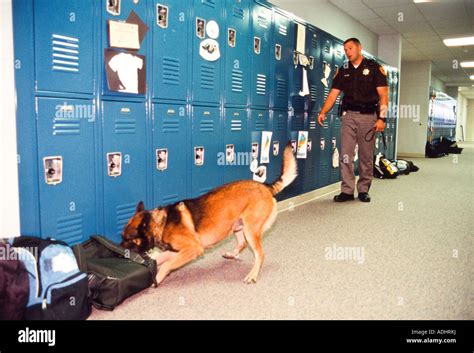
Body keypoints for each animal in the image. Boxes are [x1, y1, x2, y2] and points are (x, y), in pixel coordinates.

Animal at [119, 141, 296, 284]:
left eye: (127, 239)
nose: (119, 252)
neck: (160, 223)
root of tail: (265, 186)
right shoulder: (177, 251)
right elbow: (161, 258)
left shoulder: (193, 249)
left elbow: (167, 264)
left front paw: (158, 277)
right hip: (238, 226)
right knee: (242, 243)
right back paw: (232, 255)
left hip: (250, 230)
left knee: (260, 254)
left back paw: (252, 275)